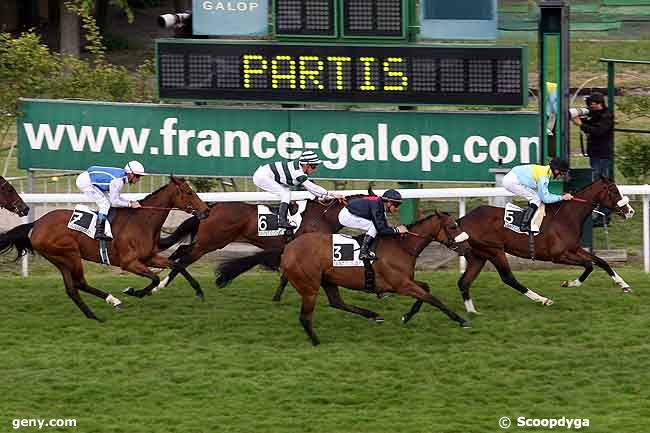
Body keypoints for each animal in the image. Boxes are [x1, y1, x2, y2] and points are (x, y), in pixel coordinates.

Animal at [0, 176, 208, 320]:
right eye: (189, 192)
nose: (206, 211)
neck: (142, 222)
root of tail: (36, 224)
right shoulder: (129, 262)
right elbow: (155, 278)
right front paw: (134, 291)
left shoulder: (149, 257)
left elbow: (178, 265)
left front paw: (199, 291)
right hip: (70, 254)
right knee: (79, 283)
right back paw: (111, 303)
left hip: (60, 260)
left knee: (73, 288)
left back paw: (95, 314)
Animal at [152, 195, 356, 298]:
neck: (323, 216)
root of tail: (211, 208)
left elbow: (284, 276)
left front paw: (276, 297)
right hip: (209, 243)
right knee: (184, 259)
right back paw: (160, 285)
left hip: (206, 242)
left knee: (181, 251)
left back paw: (156, 274)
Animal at [280, 209, 468, 344]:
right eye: (453, 227)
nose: (467, 248)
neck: (402, 246)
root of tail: (288, 249)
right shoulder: (402, 285)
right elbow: (432, 298)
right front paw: (461, 320)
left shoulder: (405, 281)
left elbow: (426, 289)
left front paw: (407, 315)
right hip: (310, 287)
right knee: (305, 317)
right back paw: (316, 341)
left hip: (327, 280)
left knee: (337, 302)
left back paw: (373, 315)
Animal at [400, 177, 632, 322]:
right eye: (614, 191)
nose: (630, 211)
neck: (566, 216)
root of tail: (461, 220)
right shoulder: (559, 255)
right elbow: (588, 265)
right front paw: (570, 283)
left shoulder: (574, 249)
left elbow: (601, 261)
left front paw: (624, 285)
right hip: (494, 251)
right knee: (508, 278)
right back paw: (542, 299)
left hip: (478, 256)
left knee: (464, 282)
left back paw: (472, 311)